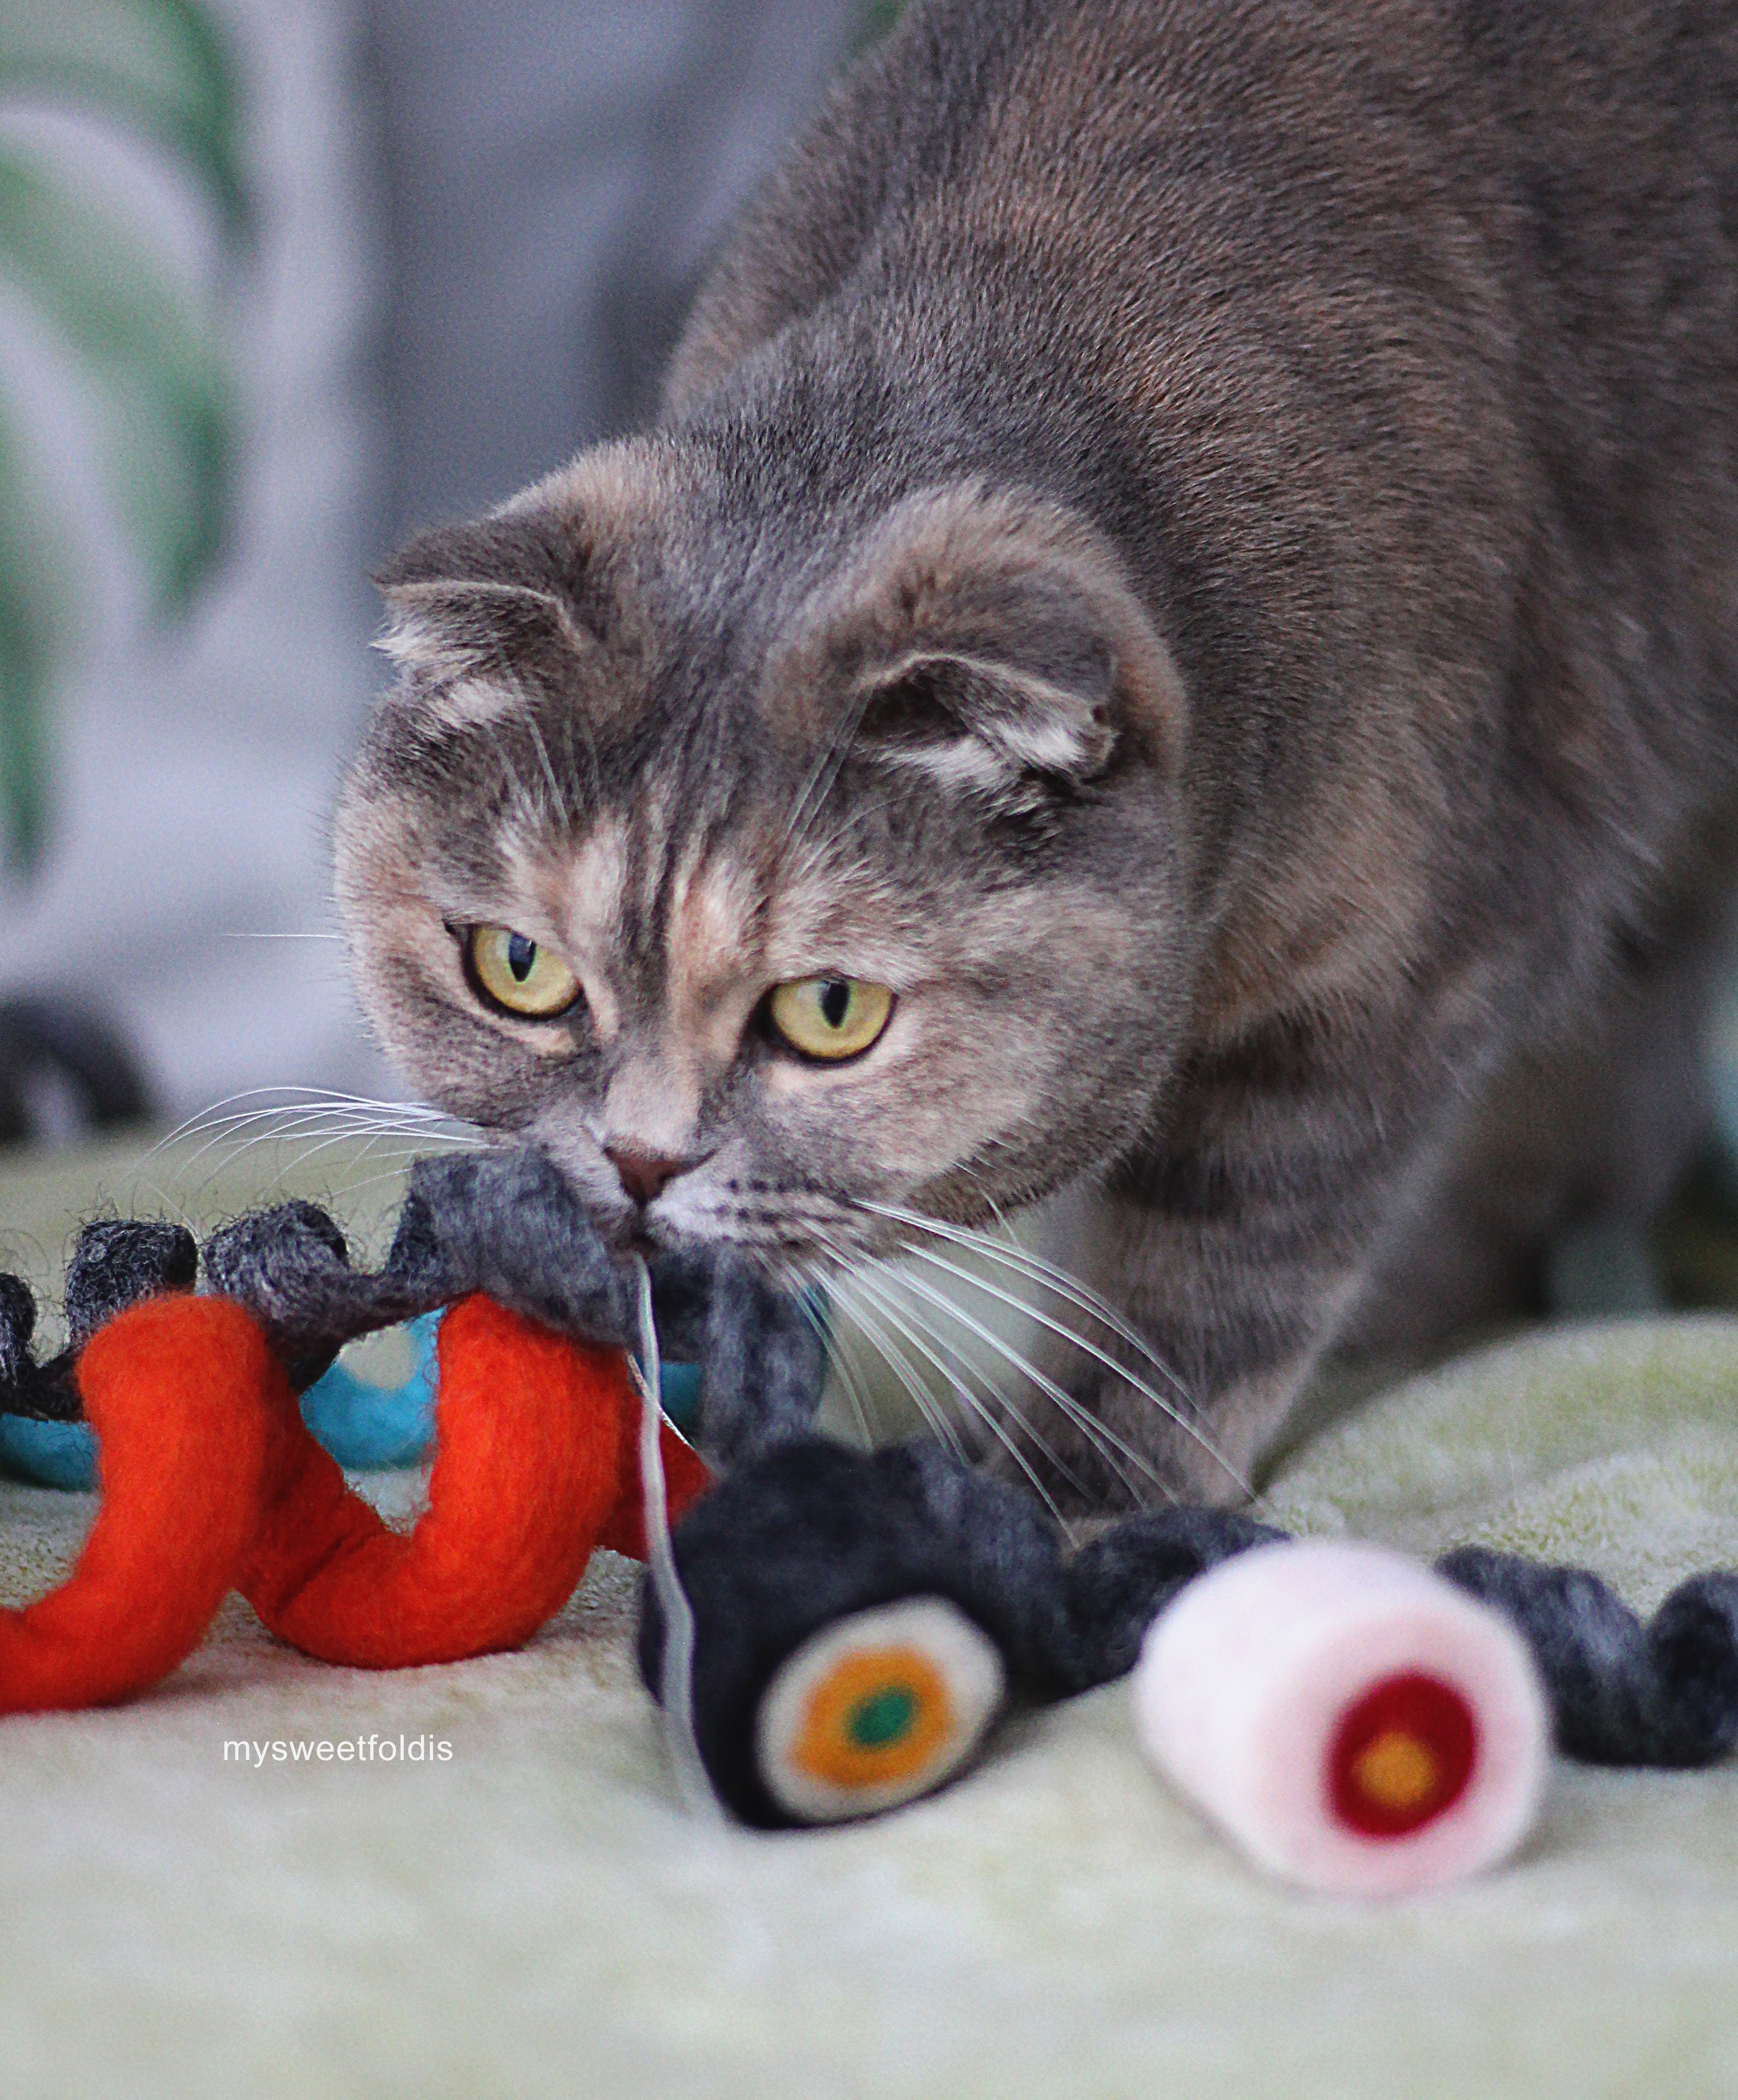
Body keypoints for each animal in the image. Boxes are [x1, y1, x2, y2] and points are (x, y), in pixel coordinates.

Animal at [335, 0, 1738, 1512]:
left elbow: (1206, 1286)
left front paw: (1070, 1498)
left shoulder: (1390, 984)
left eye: (832, 1012)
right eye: (516, 967)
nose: (639, 1162)